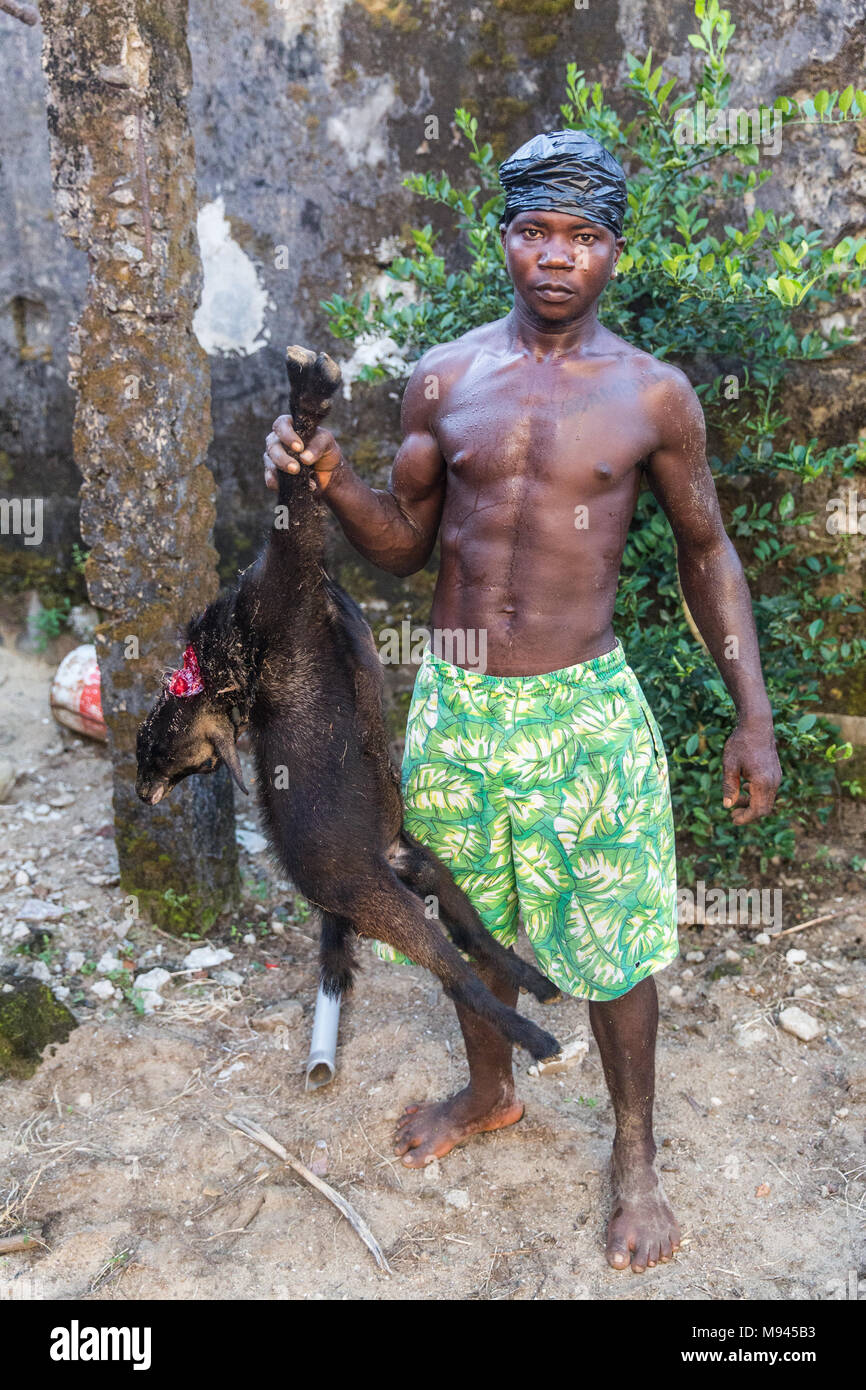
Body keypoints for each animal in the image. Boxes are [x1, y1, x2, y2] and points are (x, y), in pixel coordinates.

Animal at [135, 347, 561, 1060]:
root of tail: (367, 873)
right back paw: (533, 1032)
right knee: (458, 972)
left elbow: (301, 483)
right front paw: (309, 391)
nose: (143, 794)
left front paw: (308, 394)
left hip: (421, 868)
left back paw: (532, 982)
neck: (224, 665)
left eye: (155, 748)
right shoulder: (292, 565)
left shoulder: (295, 575)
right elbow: (297, 495)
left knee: (472, 940)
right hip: (387, 900)